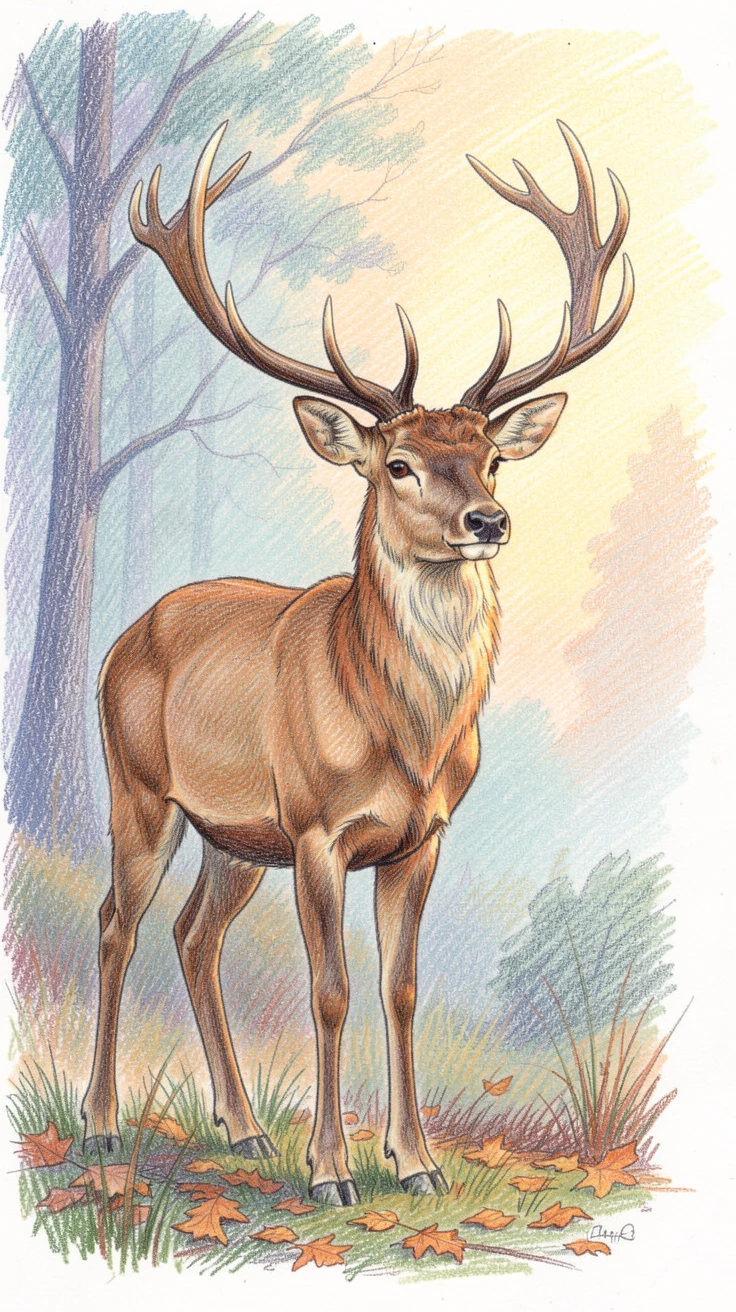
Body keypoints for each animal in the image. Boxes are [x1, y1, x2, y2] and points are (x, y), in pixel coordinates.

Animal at [81, 120, 633, 1205]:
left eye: (492, 458)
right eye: (399, 465)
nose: (487, 520)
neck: (404, 734)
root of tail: (127, 634)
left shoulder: (419, 835)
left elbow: (402, 987)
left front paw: (415, 1162)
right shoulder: (315, 828)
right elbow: (330, 989)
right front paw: (333, 1170)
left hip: (231, 833)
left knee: (194, 936)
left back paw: (245, 1127)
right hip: (140, 789)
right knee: (118, 925)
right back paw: (102, 1123)